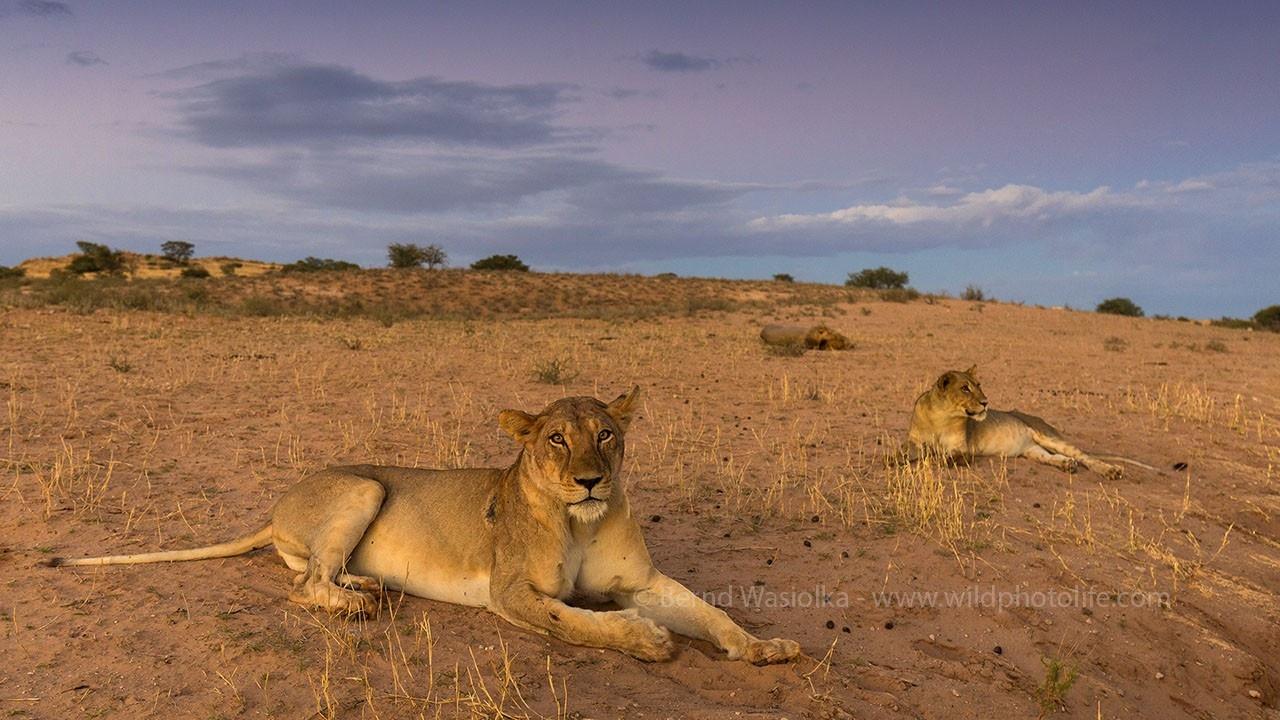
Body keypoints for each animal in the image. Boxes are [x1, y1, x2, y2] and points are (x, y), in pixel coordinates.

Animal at [60, 386, 803, 661]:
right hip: (364, 485)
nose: (593, 480)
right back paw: (360, 605)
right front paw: (646, 640)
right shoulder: (511, 593)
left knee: (318, 575)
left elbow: (708, 611)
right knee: (305, 588)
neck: (582, 521)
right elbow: (581, 621)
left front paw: (765, 647)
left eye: (607, 435)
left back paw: (369, 588)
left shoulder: (642, 582)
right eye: (556, 439)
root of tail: (274, 508)